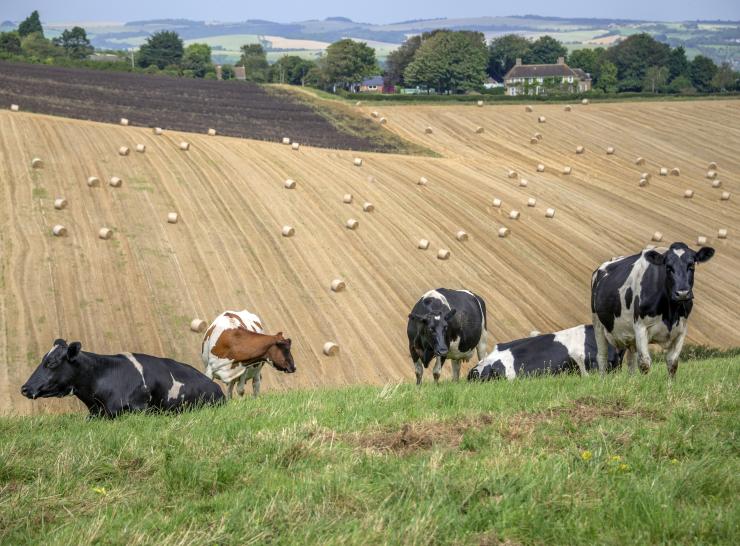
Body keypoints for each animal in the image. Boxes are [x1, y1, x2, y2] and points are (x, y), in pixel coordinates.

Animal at [588, 243, 712, 378]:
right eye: (668, 267)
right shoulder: (640, 327)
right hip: (598, 325)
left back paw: (632, 379)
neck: (670, 314)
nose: (682, 293)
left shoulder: (681, 330)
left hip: (627, 335)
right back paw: (603, 378)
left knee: (630, 360)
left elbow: (672, 363)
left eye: (691, 265)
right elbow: (644, 363)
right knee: (602, 357)